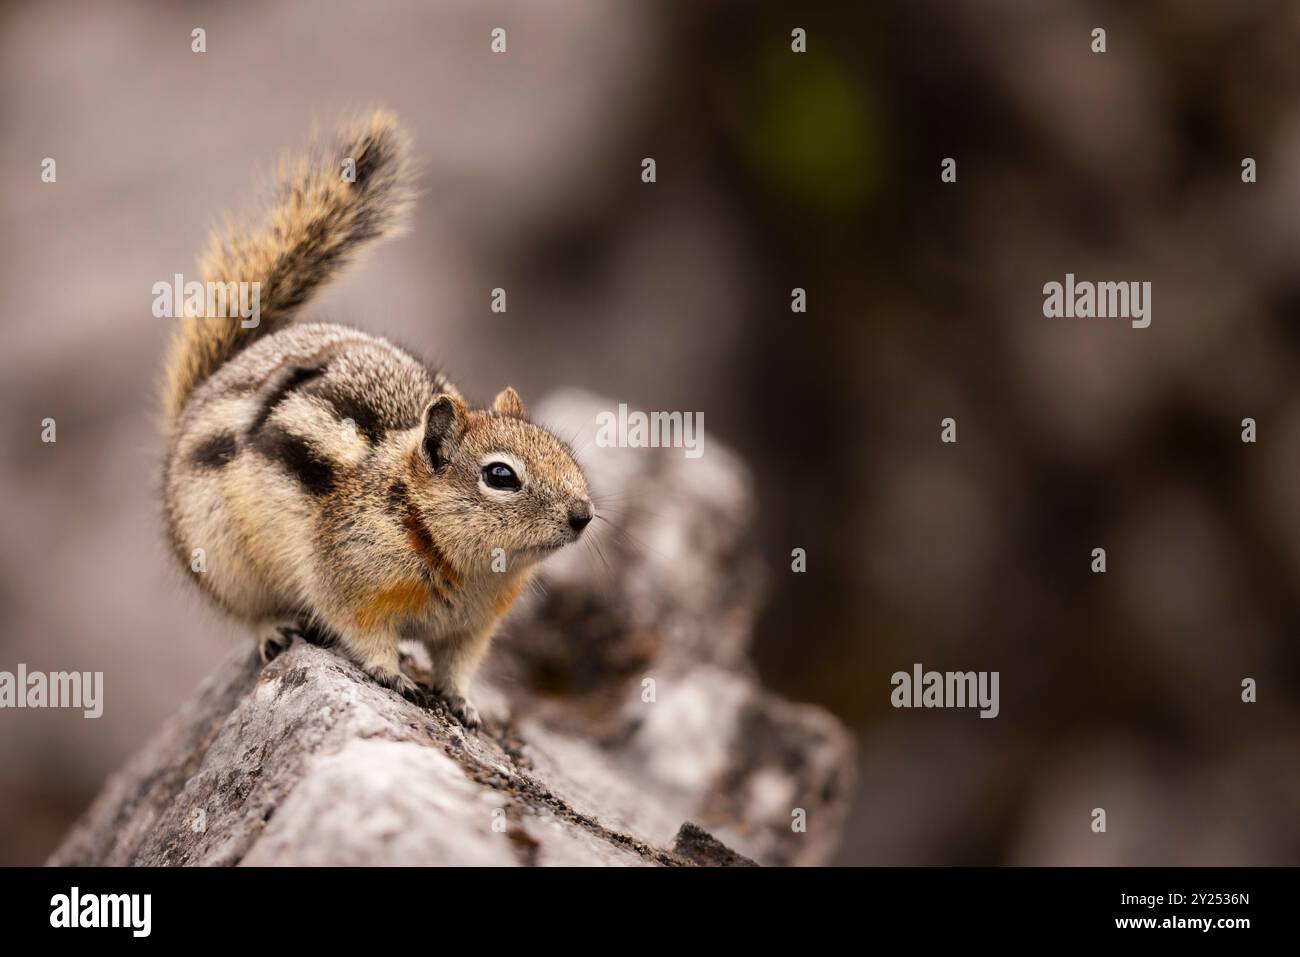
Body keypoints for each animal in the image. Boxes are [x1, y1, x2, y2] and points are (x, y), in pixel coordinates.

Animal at [160, 109, 593, 728]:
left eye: (565, 453)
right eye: (500, 475)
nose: (584, 516)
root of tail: (199, 399)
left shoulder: (472, 631)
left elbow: (458, 667)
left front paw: (463, 704)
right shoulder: (348, 585)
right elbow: (363, 635)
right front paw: (393, 675)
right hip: (221, 558)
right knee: (247, 613)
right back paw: (274, 627)